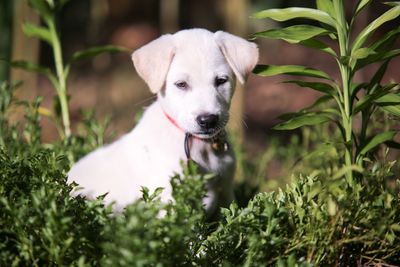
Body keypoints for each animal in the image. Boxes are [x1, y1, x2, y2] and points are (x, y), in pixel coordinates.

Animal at [67, 28, 258, 214]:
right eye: (181, 84)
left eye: (221, 81)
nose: (208, 120)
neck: (200, 147)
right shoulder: (168, 202)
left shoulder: (226, 190)